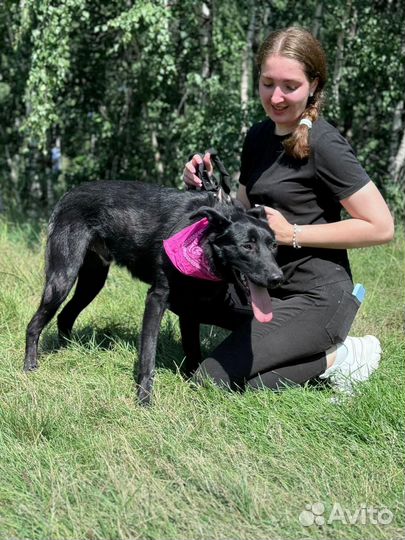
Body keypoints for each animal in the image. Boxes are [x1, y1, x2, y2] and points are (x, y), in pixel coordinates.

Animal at [23, 181, 282, 404]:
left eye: (274, 245)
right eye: (247, 246)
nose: (277, 279)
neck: (201, 244)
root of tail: (69, 194)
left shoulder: (195, 311)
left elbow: (193, 352)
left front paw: (190, 386)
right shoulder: (156, 300)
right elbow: (148, 356)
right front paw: (144, 400)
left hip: (92, 282)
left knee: (65, 316)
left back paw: (70, 351)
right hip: (62, 278)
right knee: (34, 324)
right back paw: (29, 366)